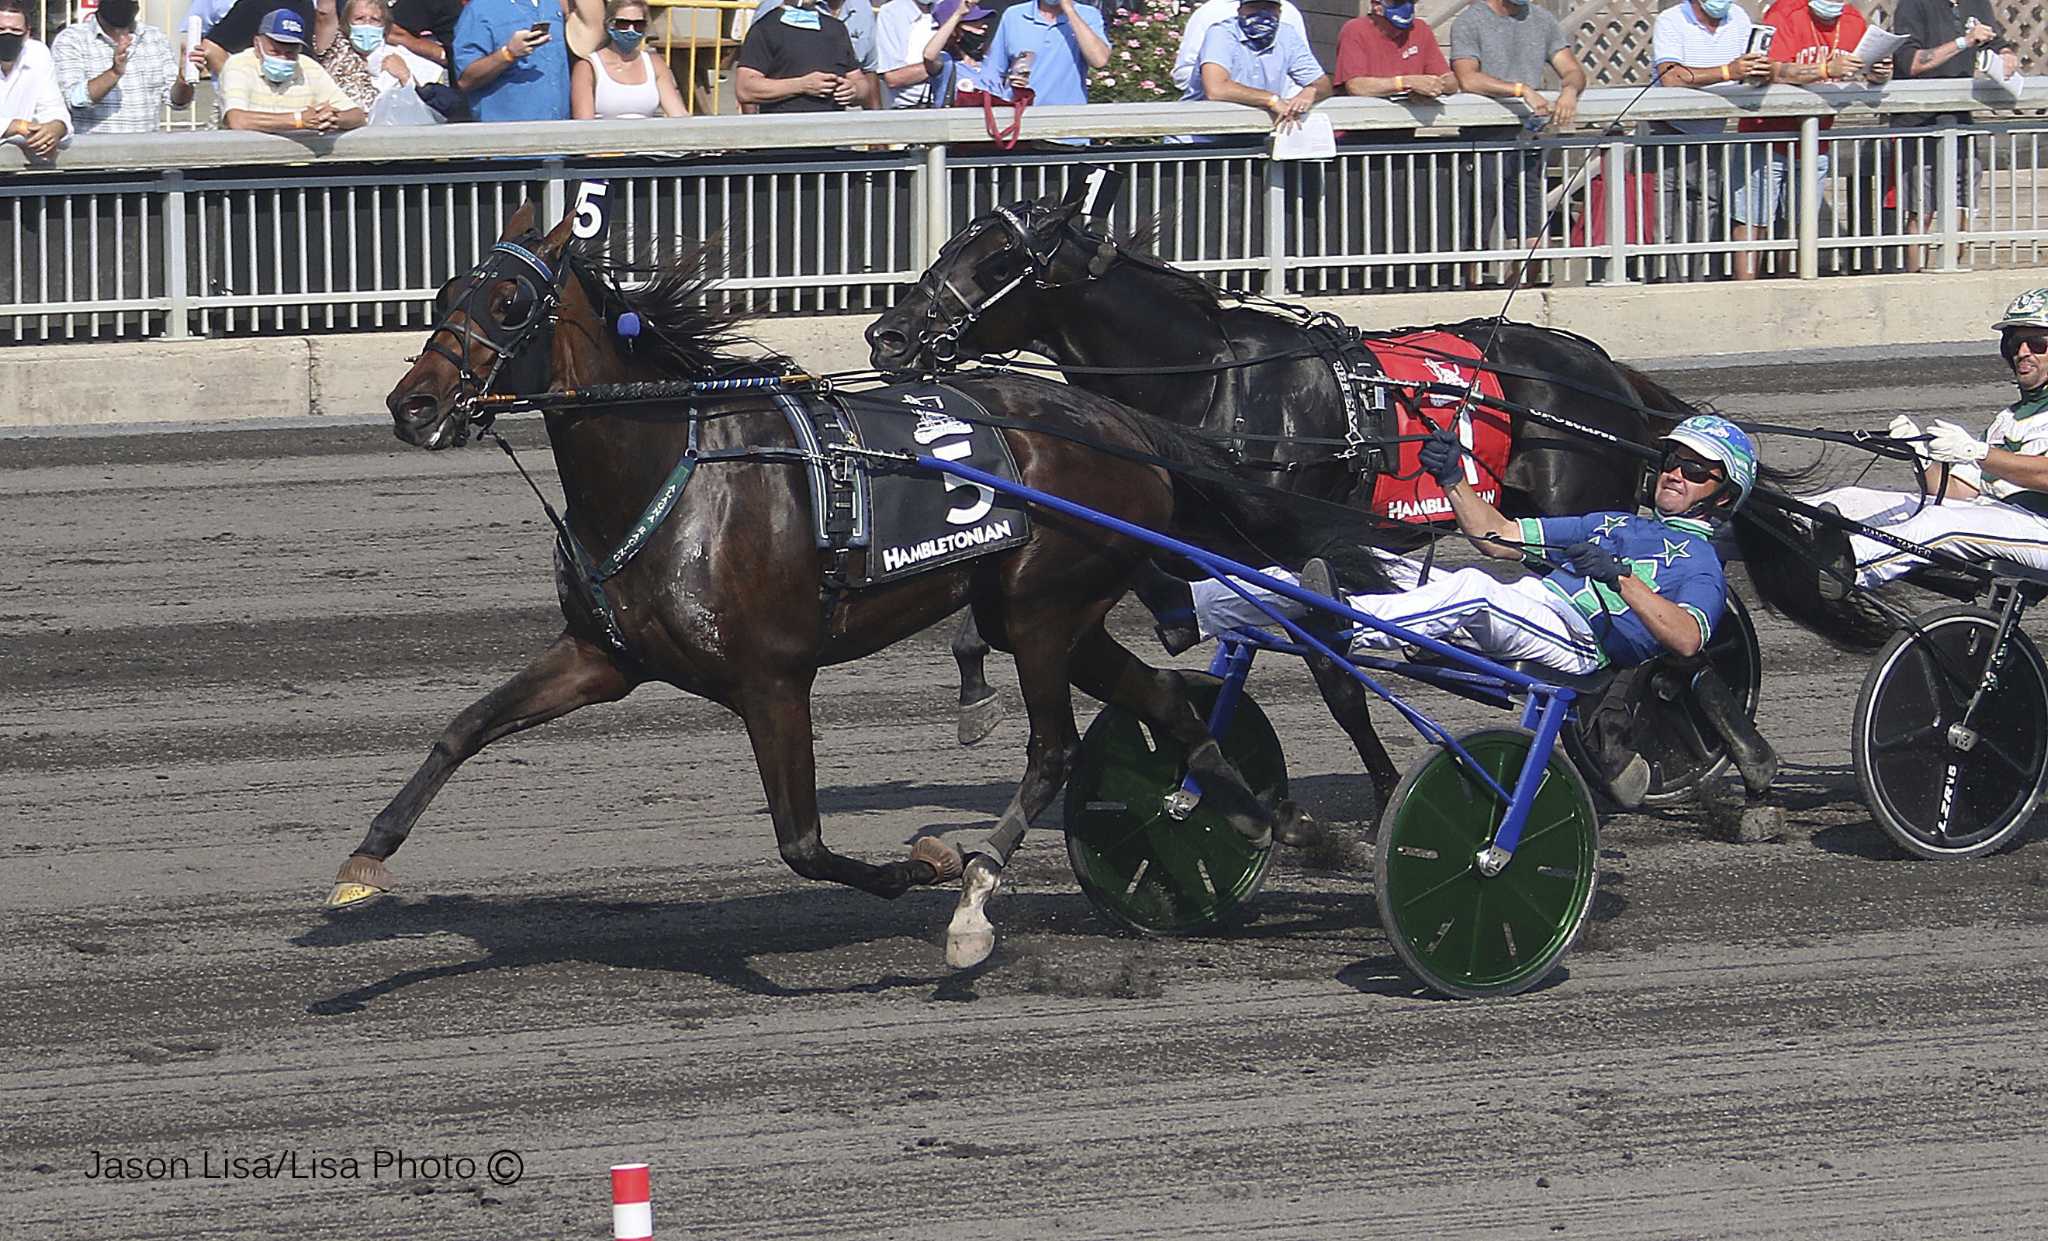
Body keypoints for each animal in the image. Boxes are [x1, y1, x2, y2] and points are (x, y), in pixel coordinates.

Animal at [339, 201, 1392, 974]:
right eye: (449, 289)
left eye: (510, 302)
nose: (413, 404)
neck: (677, 471)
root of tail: (1121, 424)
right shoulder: (604, 656)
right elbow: (465, 726)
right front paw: (364, 859)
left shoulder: (772, 681)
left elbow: (803, 842)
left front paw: (929, 863)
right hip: (1052, 611)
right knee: (1171, 704)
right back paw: (1291, 829)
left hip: (1041, 607)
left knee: (1055, 748)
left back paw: (977, 897)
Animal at [864, 184, 1744, 806]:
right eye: (948, 243)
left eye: (994, 263)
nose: (889, 336)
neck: (1215, 386)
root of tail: (1601, 370)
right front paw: (977, 685)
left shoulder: (1290, 544)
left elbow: (1334, 674)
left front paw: (1389, 788)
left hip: (1577, 504)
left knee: (1651, 640)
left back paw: (1657, 744)